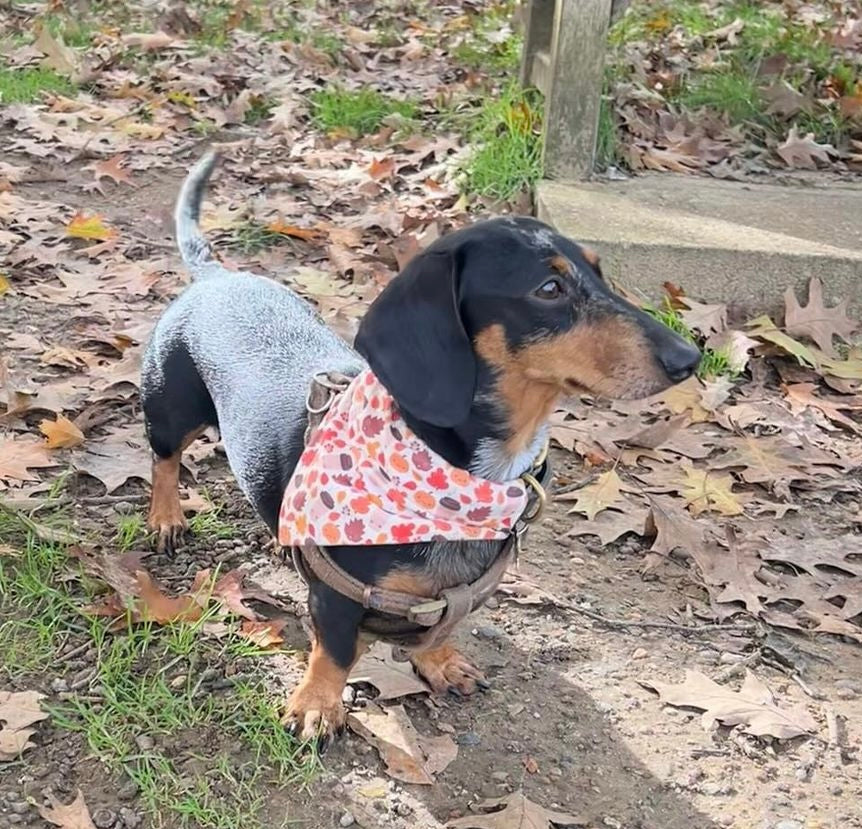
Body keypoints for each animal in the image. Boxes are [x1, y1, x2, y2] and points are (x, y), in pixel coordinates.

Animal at [142, 152, 704, 740]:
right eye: (549, 288)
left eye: (600, 272)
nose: (689, 358)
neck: (463, 477)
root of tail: (217, 276)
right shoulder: (337, 599)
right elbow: (333, 655)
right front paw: (317, 706)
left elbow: (442, 629)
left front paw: (439, 663)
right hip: (170, 409)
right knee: (164, 460)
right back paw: (166, 517)